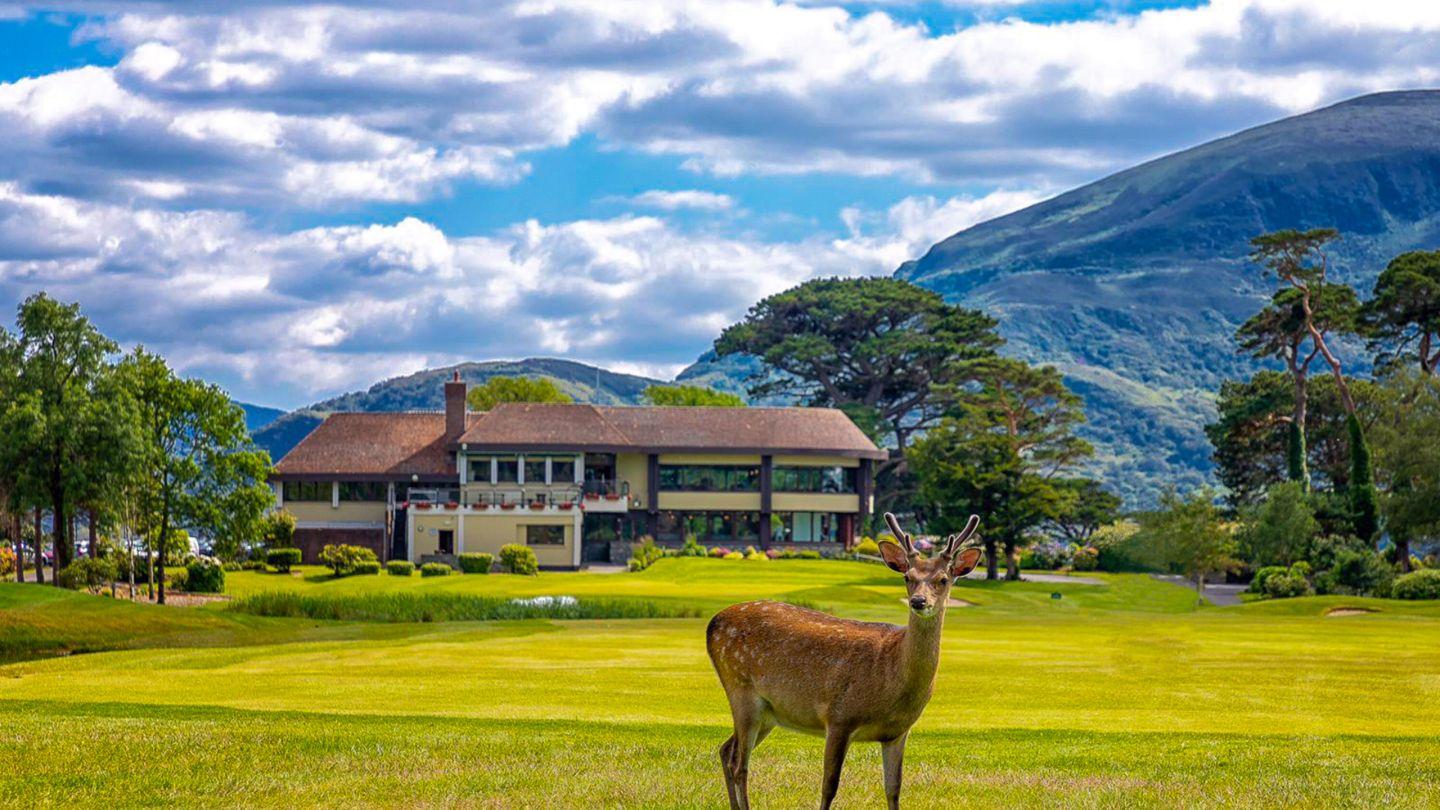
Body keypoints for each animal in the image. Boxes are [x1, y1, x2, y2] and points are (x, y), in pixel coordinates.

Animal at [706, 511, 983, 810]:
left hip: (769, 712)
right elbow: (829, 786)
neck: (893, 679)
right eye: (907, 577)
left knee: (725, 750)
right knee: (739, 764)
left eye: (943, 579)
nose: (918, 601)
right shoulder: (839, 716)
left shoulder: (898, 732)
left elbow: (894, 788)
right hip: (741, 689)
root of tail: (712, 624)